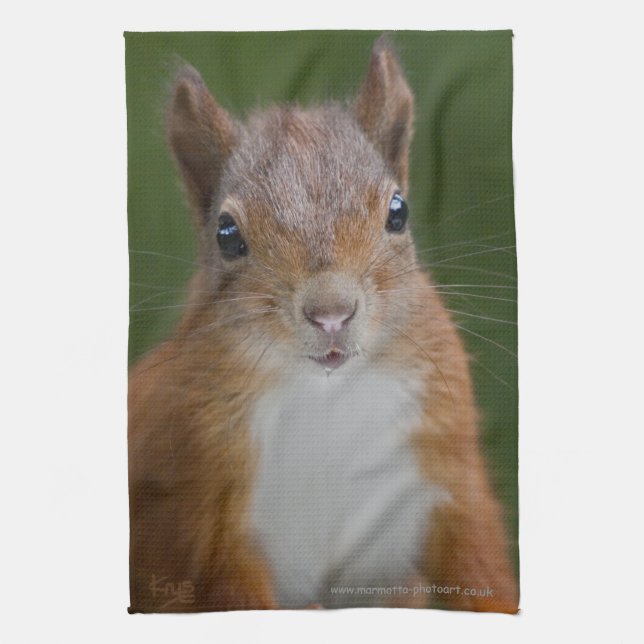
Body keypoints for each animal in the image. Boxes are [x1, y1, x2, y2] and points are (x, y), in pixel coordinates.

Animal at [128, 38, 518, 613]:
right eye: (226, 234)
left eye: (398, 211)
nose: (331, 312)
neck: (327, 398)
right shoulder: (204, 507)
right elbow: (229, 588)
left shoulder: (445, 468)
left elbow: (479, 562)